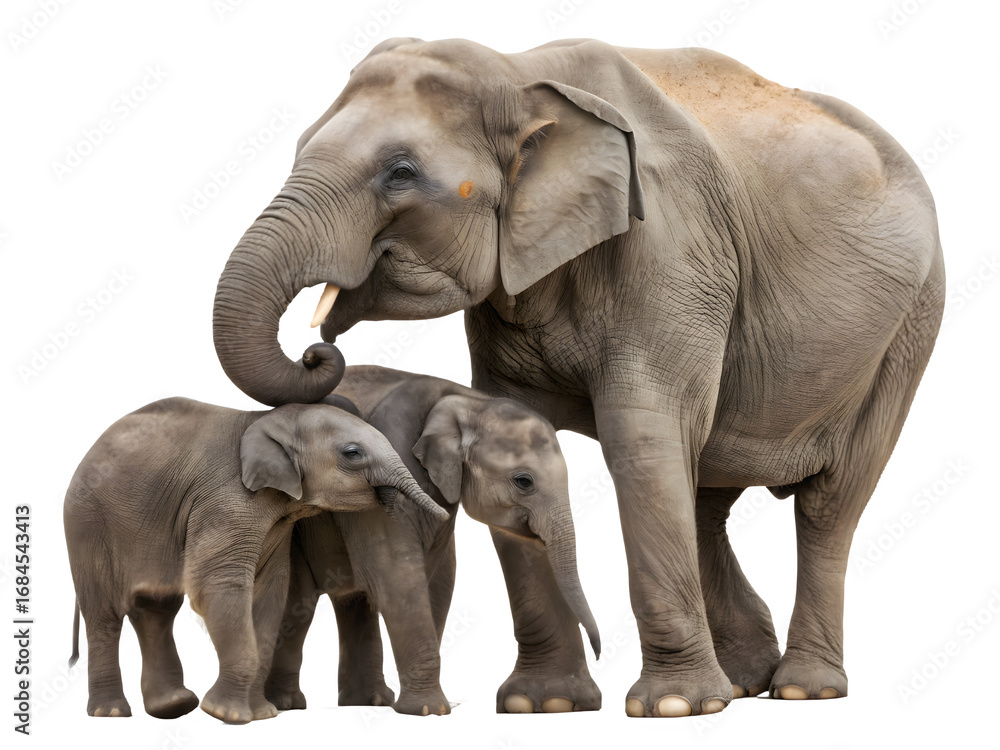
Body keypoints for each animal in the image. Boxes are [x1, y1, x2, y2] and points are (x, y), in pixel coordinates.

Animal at [63, 395, 448, 724]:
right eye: (353, 453)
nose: (444, 515)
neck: (264, 420)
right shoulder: (226, 500)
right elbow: (217, 585)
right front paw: (227, 715)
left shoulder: (275, 523)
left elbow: (271, 592)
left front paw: (261, 714)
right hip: (87, 528)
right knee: (105, 617)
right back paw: (112, 713)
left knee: (156, 608)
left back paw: (173, 706)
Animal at [263, 365, 600, 715]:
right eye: (524, 482)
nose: (599, 651)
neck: (462, 400)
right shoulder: (385, 465)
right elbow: (397, 572)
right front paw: (429, 710)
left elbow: (436, 580)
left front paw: (423, 706)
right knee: (298, 603)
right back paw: (286, 703)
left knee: (356, 603)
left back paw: (368, 702)